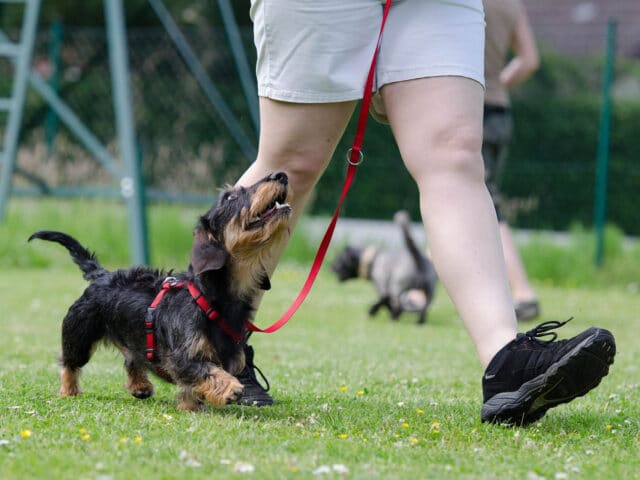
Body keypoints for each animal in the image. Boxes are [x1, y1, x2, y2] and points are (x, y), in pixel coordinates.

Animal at [28, 171, 292, 410]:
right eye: (230, 197)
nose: (280, 175)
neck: (210, 297)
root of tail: (102, 275)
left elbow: (193, 386)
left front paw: (190, 406)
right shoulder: (182, 358)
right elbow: (206, 371)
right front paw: (230, 388)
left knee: (131, 359)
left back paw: (140, 386)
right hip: (79, 335)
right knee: (69, 363)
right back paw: (68, 390)